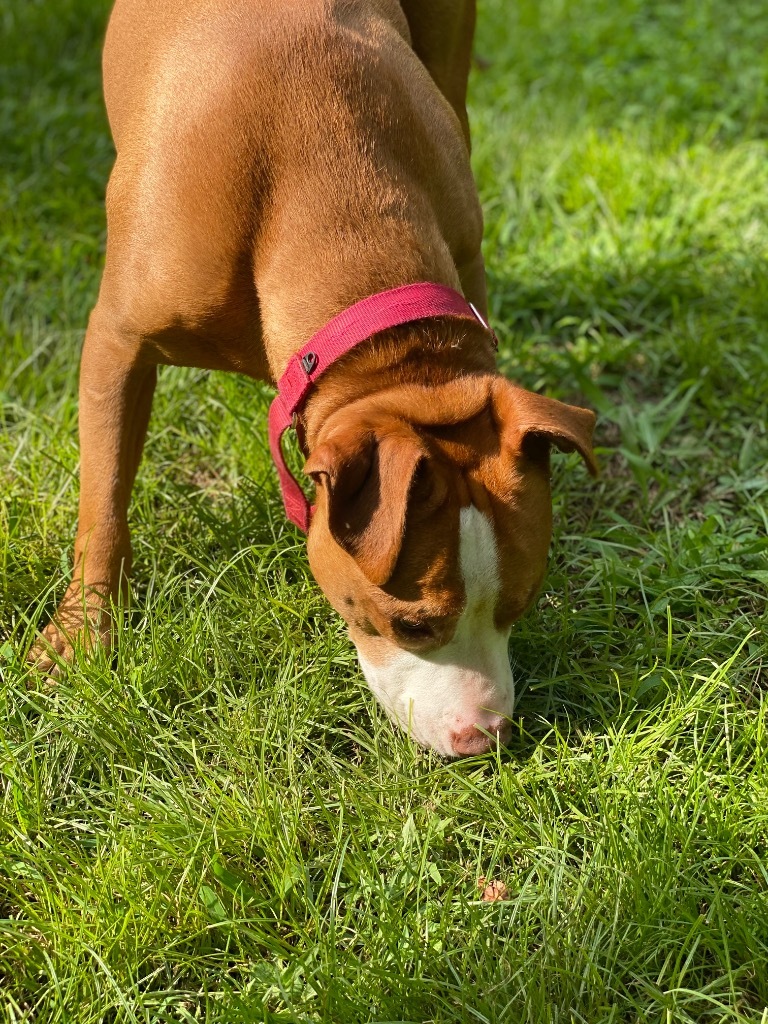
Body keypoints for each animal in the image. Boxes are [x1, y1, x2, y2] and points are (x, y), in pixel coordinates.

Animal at [33, 0, 598, 753]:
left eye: (522, 601)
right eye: (411, 624)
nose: (488, 738)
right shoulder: (115, 345)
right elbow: (104, 500)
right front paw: (85, 632)